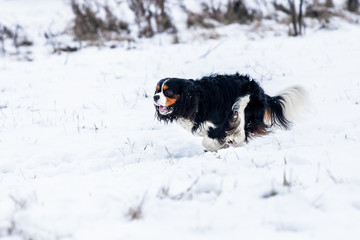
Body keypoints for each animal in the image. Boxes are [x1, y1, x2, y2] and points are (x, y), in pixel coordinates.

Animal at [153, 73, 306, 152]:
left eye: (168, 91)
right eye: (157, 90)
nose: (154, 97)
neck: (195, 99)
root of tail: (260, 90)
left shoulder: (219, 124)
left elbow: (207, 140)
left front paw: (218, 146)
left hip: (244, 103)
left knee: (242, 130)